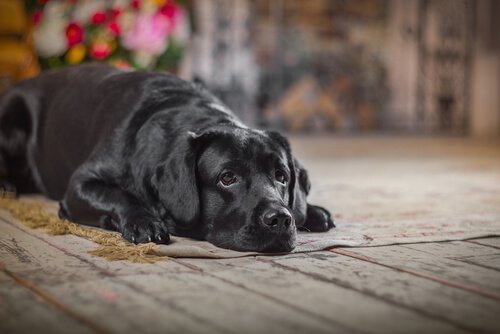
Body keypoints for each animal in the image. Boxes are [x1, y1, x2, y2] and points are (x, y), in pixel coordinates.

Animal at [0, 63, 336, 250]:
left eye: (282, 177)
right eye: (227, 178)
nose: (280, 219)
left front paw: (311, 210)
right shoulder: (80, 185)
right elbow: (118, 195)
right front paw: (144, 220)